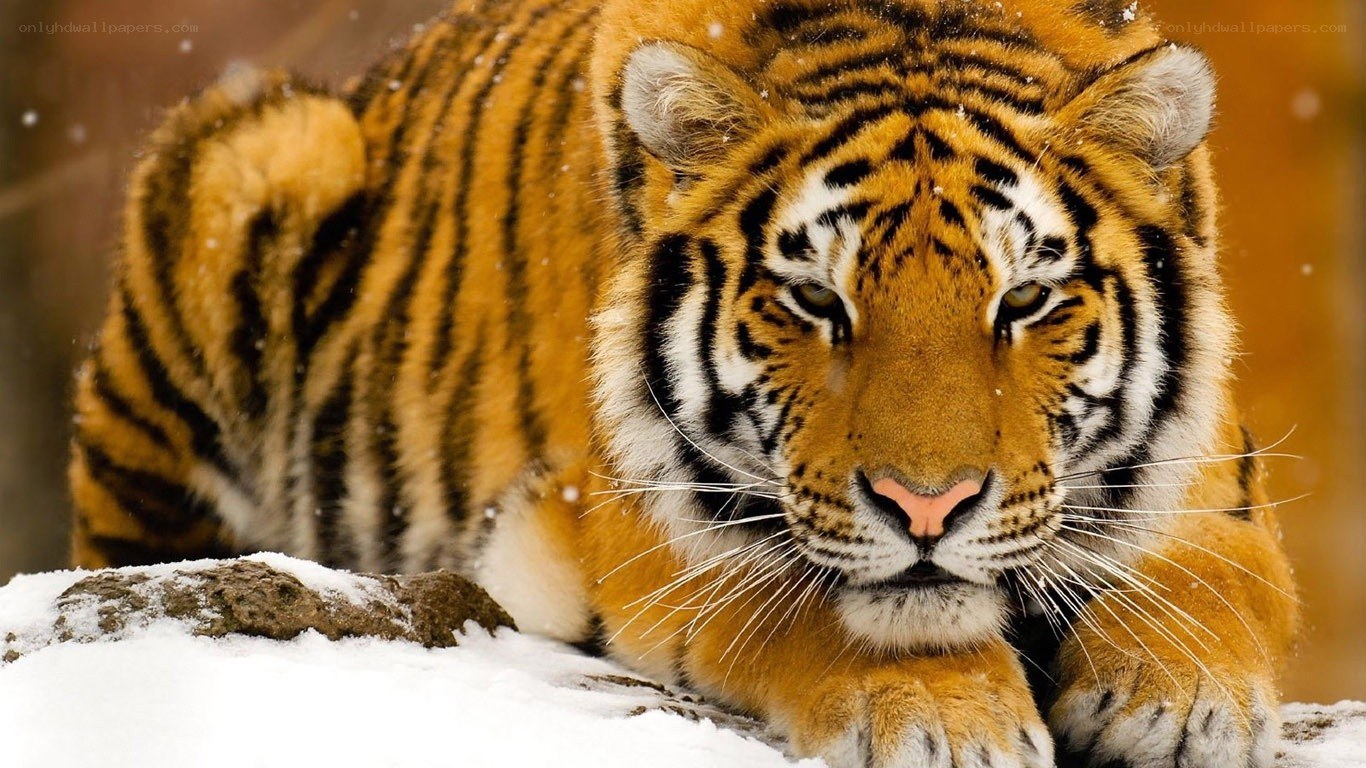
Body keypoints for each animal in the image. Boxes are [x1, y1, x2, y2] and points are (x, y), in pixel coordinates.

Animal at [67, 0, 1300, 765]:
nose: (928, 507)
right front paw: (947, 719)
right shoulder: (635, 519)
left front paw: (1177, 703)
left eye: (1024, 302)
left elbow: (1213, 580)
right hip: (259, 156)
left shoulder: (1213, 479)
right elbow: (818, 604)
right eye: (815, 301)